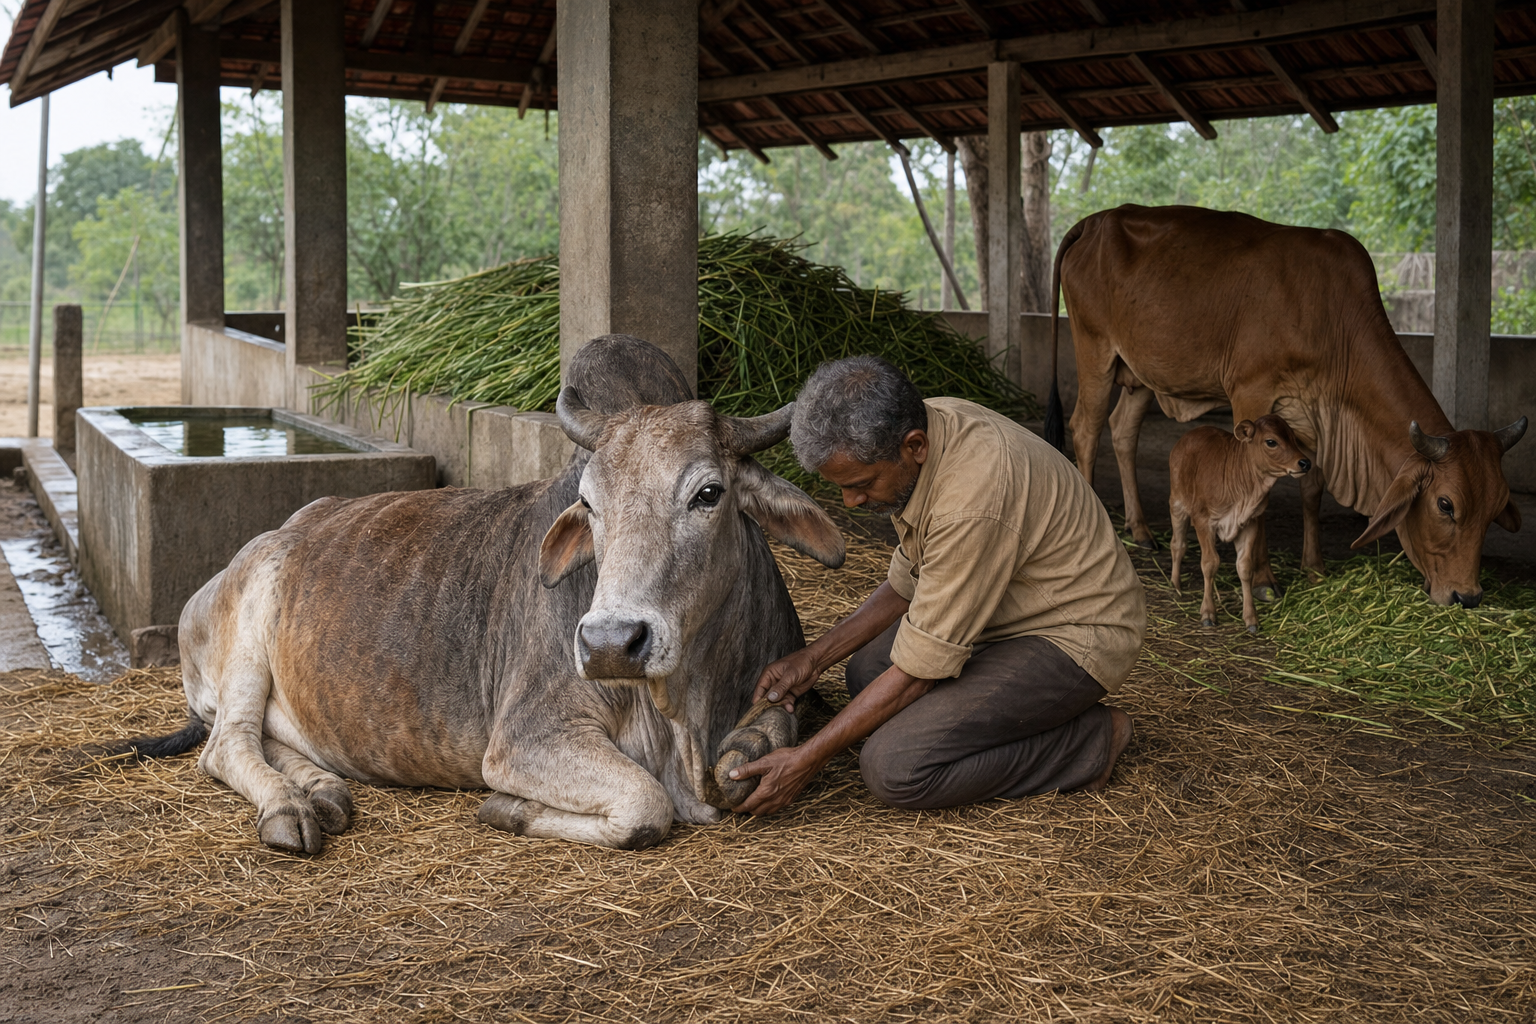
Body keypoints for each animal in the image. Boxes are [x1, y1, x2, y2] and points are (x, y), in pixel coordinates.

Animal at [117, 336, 845, 852]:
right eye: (590, 503)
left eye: (708, 493)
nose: (612, 643)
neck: (688, 709)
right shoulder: (527, 737)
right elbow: (646, 804)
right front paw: (509, 810)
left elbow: (755, 750)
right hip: (249, 623)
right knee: (226, 746)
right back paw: (291, 809)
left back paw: (324, 791)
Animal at [1048, 204, 1527, 608]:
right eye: (1445, 505)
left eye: (1496, 505)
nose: (1467, 596)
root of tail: (1094, 220)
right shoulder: (1251, 394)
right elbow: (1259, 489)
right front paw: (1264, 580)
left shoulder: (1311, 419)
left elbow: (1311, 488)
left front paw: (1313, 568)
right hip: (1095, 350)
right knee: (1086, 428)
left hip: (1141, 373)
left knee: (1123, 431)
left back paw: (1142, 531)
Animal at [1169, 415, 1311, 632]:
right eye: (1271, 441)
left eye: (1293, 438)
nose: (1305, 462)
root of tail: (1190, 433)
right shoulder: (1203, 520)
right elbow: (1209, 563)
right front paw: (1208, 613)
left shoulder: (1250, 523)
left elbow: (1245, 567)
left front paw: (1251, 618)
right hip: (1177, 504)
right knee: (1178, 544)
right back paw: (1175, 585)